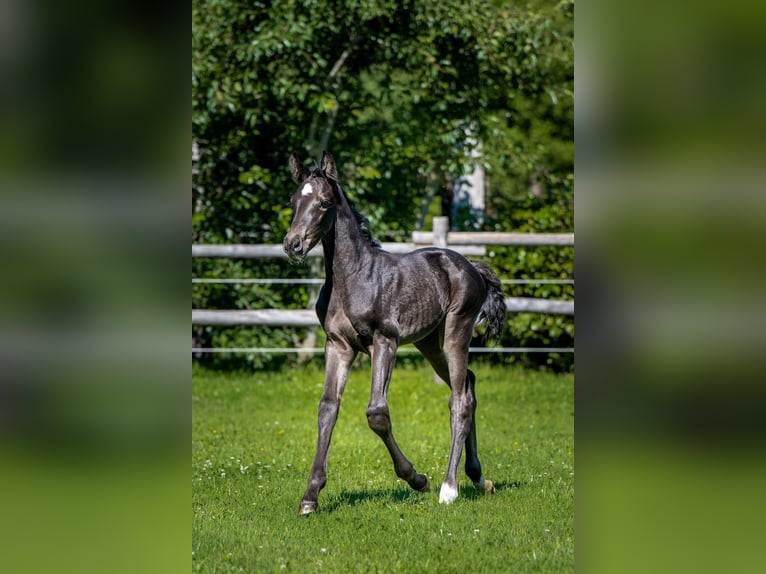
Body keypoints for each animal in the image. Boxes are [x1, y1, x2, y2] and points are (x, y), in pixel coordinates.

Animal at [284, 151, 508, 516]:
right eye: (293, 201)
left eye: (324, 202)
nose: (293, 245)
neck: (353, 277)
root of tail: (472, 267)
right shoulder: (338, 346)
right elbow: (327, 408)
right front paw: (310, 496)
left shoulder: (384, 341)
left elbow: (377, 413)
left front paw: (417, 479)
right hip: (429, 343)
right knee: (469, 384)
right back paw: (477, 477)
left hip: (456, 330)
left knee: (459, 398)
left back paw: (449, 488)